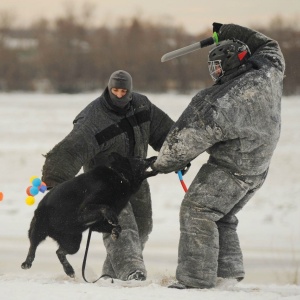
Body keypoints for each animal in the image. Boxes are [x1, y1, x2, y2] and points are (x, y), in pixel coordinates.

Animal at [21, 154, 157, 278]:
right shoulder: (84, 210)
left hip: (73, 243)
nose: (154, 157)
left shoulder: (97, 225)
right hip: (40, 229)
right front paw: (112, 217)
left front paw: (115, 232)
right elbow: (105, 207)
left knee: (59, 252)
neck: (120, 177)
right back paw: (27, 262)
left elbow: (118, 227)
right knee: (33, 246)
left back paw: (69, 270)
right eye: (139, 159)